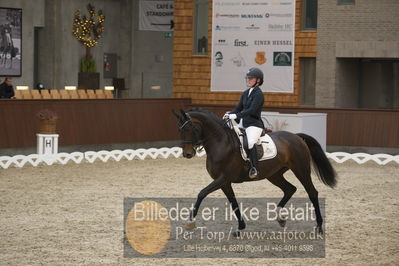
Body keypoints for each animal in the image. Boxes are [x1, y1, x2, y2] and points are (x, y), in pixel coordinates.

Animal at [173, 108, 338, 235]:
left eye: (190, 129)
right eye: (180, 130)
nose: (187, 154)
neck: (220, 143)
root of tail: (297, 137)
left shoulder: (223, 178)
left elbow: (202, 193)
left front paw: (190, 222)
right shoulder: (224, 182)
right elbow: (233, 202)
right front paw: (240, 228)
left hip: (301, 170)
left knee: (312, 192)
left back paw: (319, 226)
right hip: (274, 174)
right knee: (290, 189)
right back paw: (280, 218)